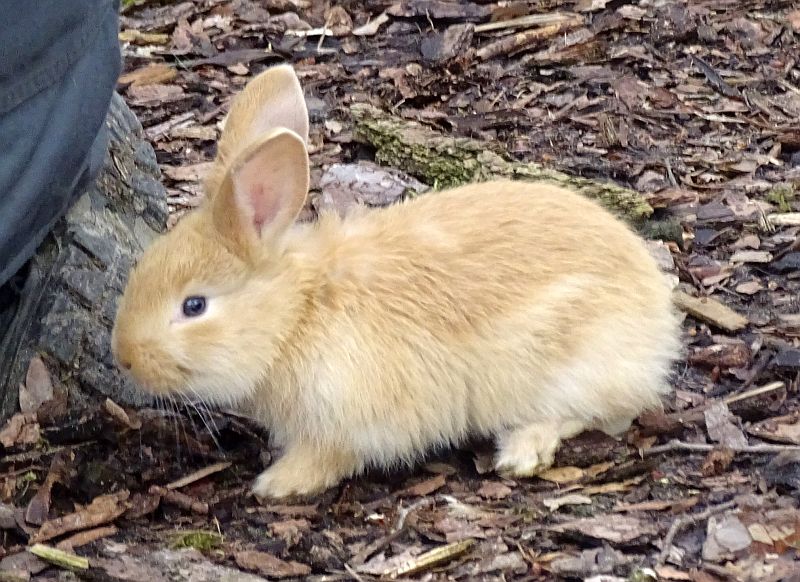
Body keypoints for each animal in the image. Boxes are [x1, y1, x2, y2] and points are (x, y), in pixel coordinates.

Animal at [111, 63, 682, 500]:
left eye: (194, 306)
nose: (125, 358)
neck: (297, 316)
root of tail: (659, 316)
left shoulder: (347, 419)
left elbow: (330, 455)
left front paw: (278, 483)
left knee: (595, 414)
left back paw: (520, 452)